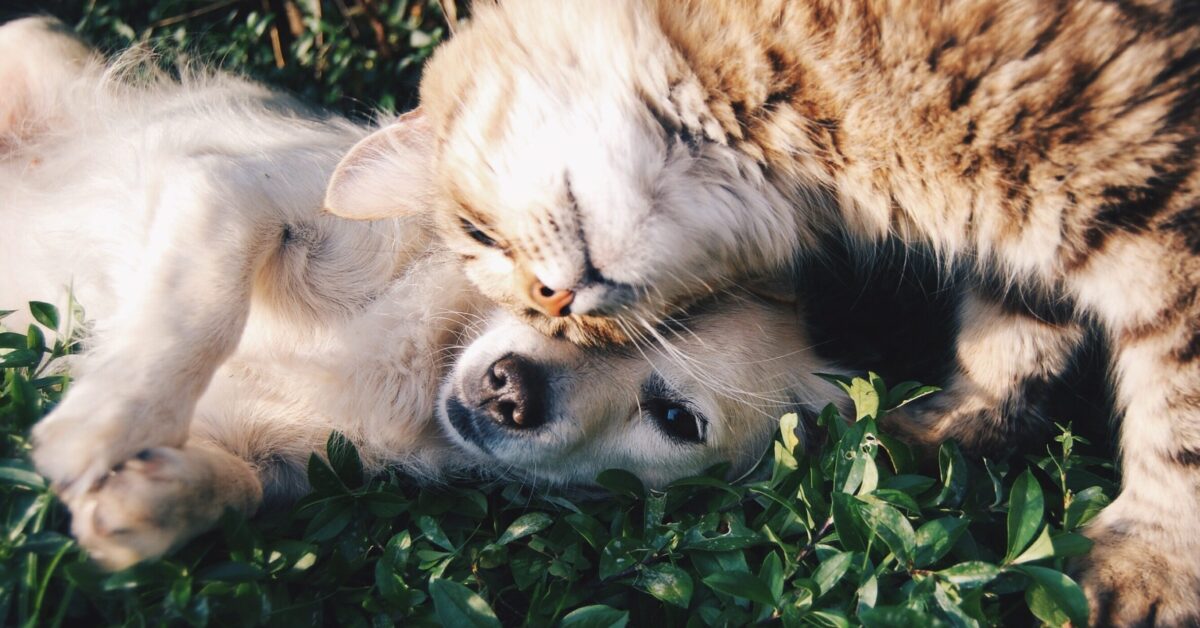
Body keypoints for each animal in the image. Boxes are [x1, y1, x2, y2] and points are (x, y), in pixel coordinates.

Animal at [2, 18, 844, 569]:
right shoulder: (234, 190)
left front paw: (149, 500)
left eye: (675, 419)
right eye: (552, 299)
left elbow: (238, 488)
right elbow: (198, 308)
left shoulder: (285, 460)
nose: (511, 391)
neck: (424, 360)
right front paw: (105, 423)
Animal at [324, 1, 1200, 624]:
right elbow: (1011, 338)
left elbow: (1179, 416)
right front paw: (945, 429)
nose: (556, 304)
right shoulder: (1028, 237)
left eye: (477, 234)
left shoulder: (1158, 201)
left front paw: (1151, 564)